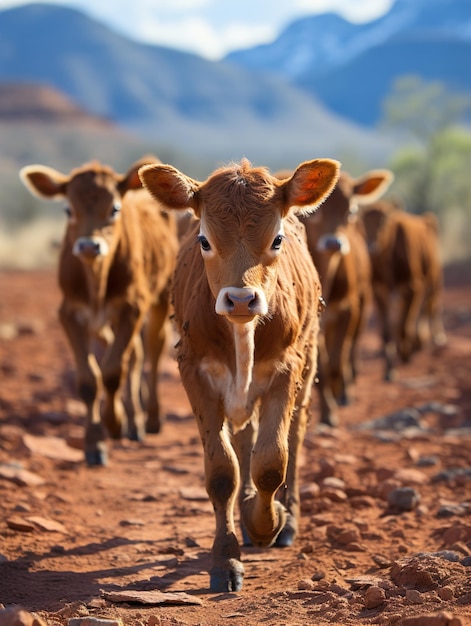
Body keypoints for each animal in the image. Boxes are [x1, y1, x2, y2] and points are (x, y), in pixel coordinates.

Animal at [19, 156, 179, 464]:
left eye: (114, 208)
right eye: (68, 209)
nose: (88, 246)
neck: (97, 282)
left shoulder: (132, 307)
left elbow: (113, 371)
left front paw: (113, 424)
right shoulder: (70, 314)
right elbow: (88, 379)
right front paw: (95, 442)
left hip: (161, 296)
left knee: (153, 351)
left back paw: (150, 419)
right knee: (135, 355)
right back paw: (134, 420)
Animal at [139, 156, 340, 588]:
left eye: (277, 240)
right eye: (204, 241)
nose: (242, 299)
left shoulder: (286, 368)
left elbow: (271, 462)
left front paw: (267, 523)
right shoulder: (193, 370)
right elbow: (222, 472)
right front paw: (225, 558)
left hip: (309, 363)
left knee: (294, 437)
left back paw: (287, 520)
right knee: (245, 439)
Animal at [298, 169, 394, 424]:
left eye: (350, 210)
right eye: (315, 210)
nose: (334, 242)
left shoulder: (348, 310)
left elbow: (336, 361)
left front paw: (335, 402)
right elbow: (322, 366)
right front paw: (327, 410)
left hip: (363, 302)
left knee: (351, 346)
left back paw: (345, 389)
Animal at [362, 200, 446, 378]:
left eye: (384, 221)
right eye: (362, 221)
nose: (371, 247)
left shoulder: (413, 286)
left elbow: (403, 324)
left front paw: (405, 353)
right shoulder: (380, 291)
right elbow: (387, 331)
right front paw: (389, 369)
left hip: (434, 278)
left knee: (431, 305)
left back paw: (431, 338)